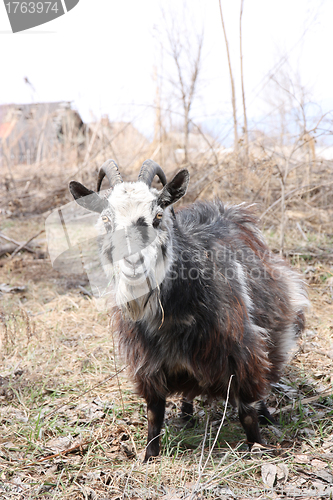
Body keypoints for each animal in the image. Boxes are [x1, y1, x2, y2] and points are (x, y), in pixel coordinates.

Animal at [68, 159, 308, 460]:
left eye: (158, 216)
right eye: (106, 220)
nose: (133, 263)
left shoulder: (241, 353)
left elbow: (246, 412)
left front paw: (258, 447)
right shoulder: (147, 364)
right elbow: (154, 415)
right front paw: (149, 457)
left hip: (275, 328)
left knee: (265, 374)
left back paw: (266, 414)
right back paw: (186, 414)